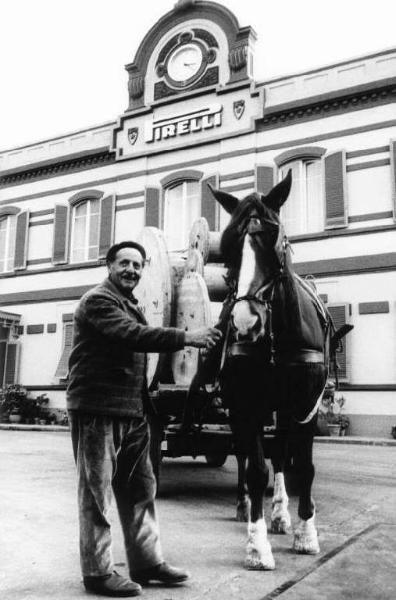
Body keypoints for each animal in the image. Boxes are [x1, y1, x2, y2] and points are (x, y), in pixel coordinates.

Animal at [186, 171, 344, 568]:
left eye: (275, 240)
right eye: (229, 248)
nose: (246, 321)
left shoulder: (306, 406)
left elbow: (302, 466)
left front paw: (305, 532)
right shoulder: (246, 403)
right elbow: (256, 468)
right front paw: (257, 545)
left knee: (282, 453)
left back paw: (281, 513)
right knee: (246, 454)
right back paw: (246, 506)